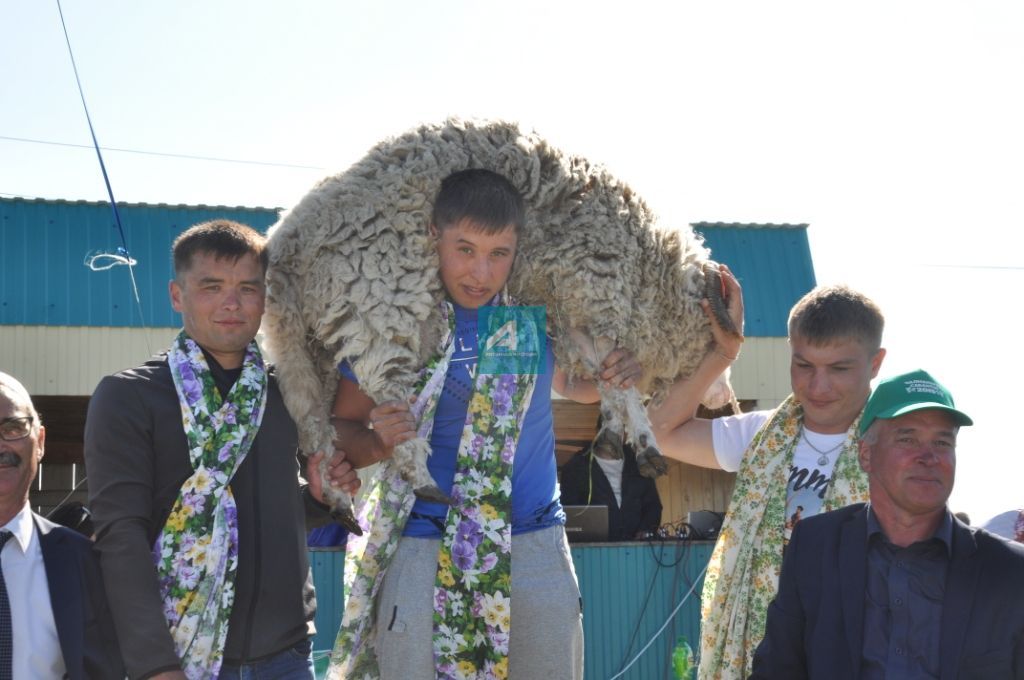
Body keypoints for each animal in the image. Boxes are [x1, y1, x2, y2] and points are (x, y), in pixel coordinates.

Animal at [262, 116, 737, 532]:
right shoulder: (596, 288)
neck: (649, 267)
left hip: (305, 343)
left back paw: (338, 497)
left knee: (313, 422)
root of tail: (288, 242)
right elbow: (620, 383)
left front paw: (612, 431)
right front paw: (644, 440)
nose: (727, 400)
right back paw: (421, 475)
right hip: (377, 300)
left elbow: (606, 375)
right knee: (385, 390)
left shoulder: (573, 310)